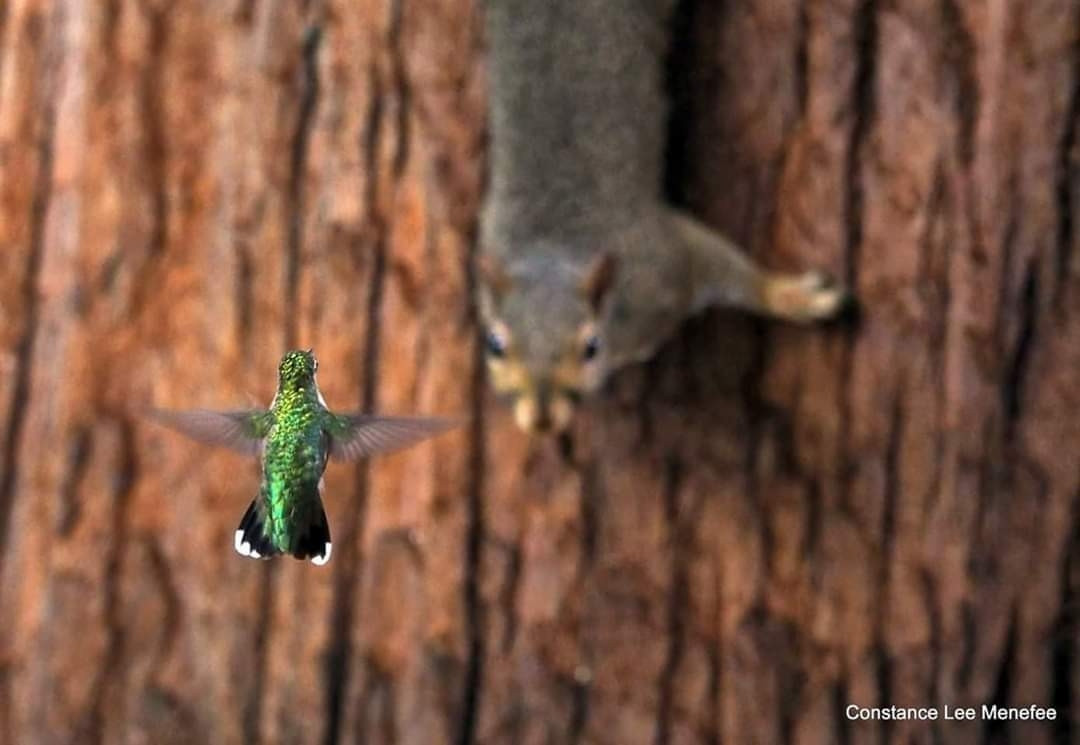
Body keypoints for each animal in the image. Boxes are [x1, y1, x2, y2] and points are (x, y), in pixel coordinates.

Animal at [477, 0, 846, 429]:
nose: (541, 421)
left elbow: (722, 265)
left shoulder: (665, 266)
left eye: (590, 347)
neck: (552, 253)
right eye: (495, 345)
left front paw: (787, 295)